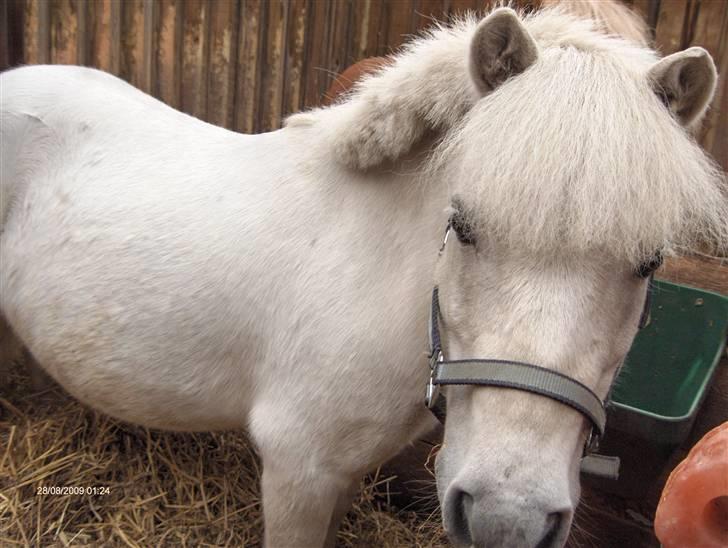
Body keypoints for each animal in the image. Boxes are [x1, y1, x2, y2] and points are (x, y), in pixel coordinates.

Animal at [0, 5, 724, 548]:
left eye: (649, 262)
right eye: (463, 226)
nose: (507, 518)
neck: (373, 275)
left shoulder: (342, 472)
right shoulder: (297, 470)